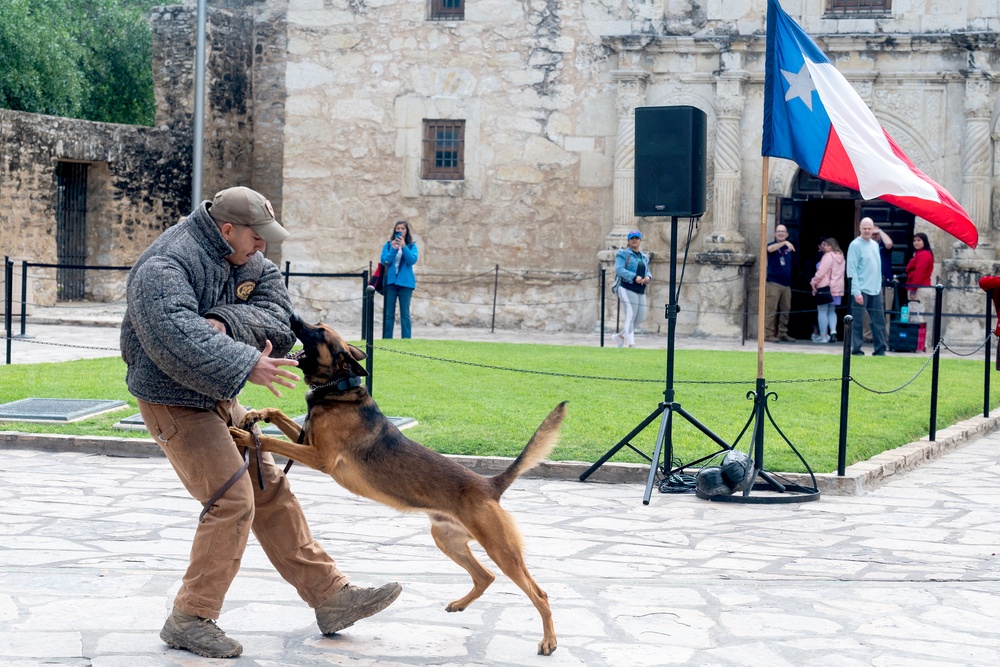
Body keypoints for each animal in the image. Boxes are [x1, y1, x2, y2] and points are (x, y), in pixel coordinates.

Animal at [229, 316, 568, 656]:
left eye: (320, 331)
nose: (293, 318)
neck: (339, 388)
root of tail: (490, 485)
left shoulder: (318, 456)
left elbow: (272, 440)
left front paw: (244, 435)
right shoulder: (307, 442)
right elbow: (279, 416)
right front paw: (255, 415)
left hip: (501, 550)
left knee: (538, 593)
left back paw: (549, 641)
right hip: (447, 540)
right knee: (485, 576)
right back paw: (460, 604)